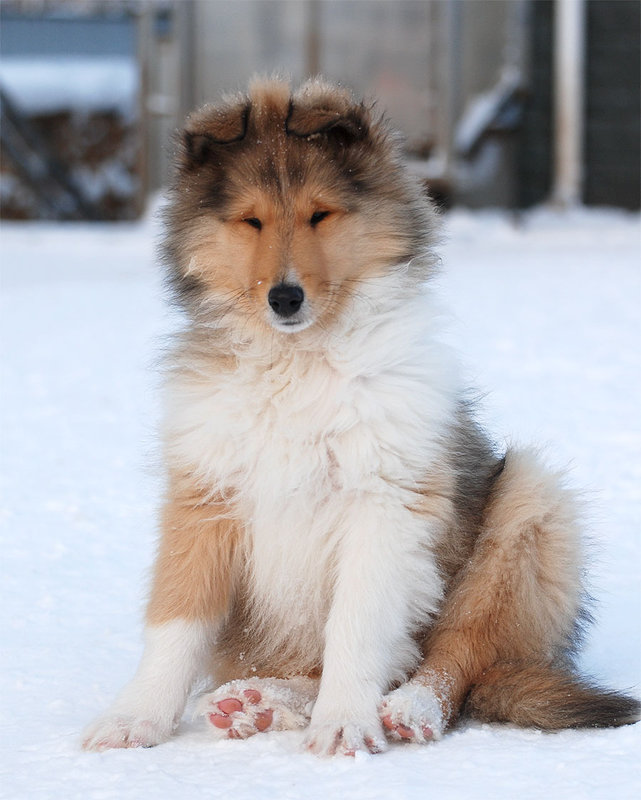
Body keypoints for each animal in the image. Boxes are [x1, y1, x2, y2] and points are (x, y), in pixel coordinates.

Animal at [82, 78, 636, 752]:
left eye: (320, 215)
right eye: (251, 220)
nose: (285, 298)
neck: (297, 362)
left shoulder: (387, 501)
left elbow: (356, 622)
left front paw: (346, 723)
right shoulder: (205, 495)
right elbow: (176, 620)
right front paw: (133, 718)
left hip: (529, 509)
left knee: (457, 652)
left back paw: (408, 709)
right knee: (317, 667)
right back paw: (256, 703)